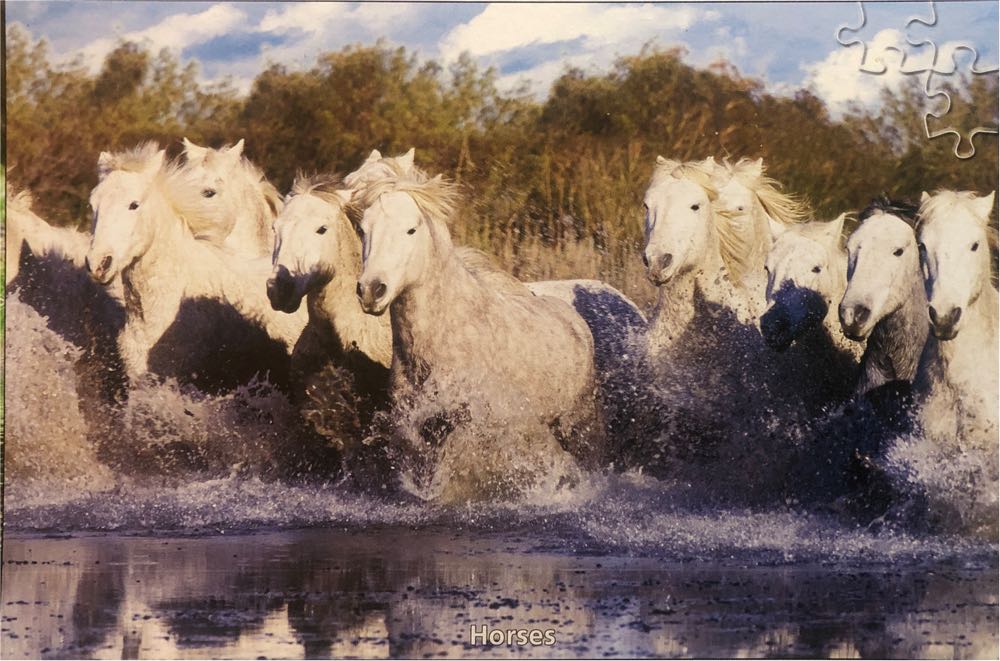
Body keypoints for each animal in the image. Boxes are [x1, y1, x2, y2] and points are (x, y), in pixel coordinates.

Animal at [351, 172, 602, 491]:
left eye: (411, 229)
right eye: (362, 229)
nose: (371, 290)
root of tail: (575, 318)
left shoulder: (470, 426)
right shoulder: (420, 426)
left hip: (578, 423)